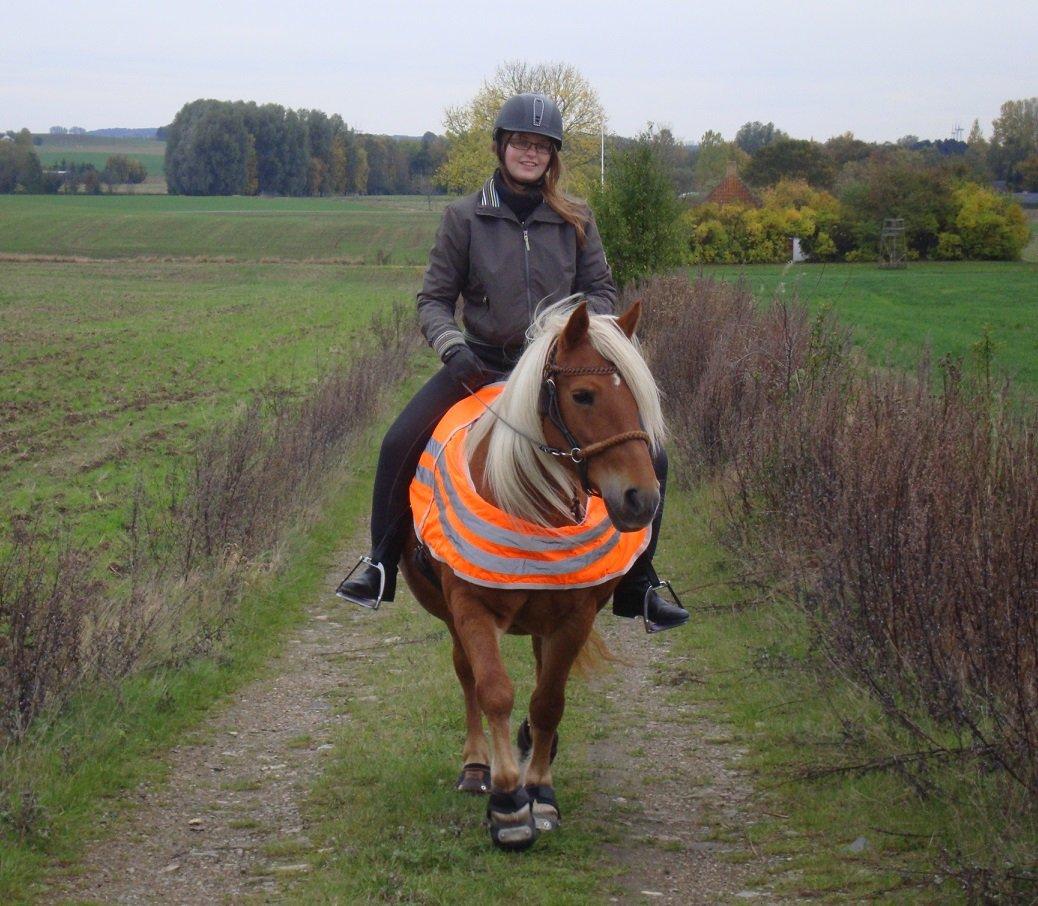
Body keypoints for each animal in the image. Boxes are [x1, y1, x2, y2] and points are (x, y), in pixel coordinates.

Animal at [398, 296, 664, 846]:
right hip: (452, 616)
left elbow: (548, 701)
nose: (640, 499)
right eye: (583, 396)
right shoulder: (471, 607)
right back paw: (476, 767)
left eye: (643, 395)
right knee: (466, 674)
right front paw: (507, 805)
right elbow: (493, 689)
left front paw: (540, 792)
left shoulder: (576, 615)